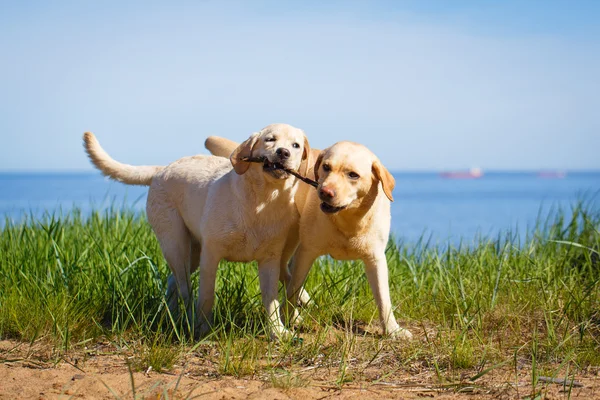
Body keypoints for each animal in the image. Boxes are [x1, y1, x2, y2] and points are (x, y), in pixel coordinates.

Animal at [82, 124, 310, 338]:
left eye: (296, 145)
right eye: (270, 139)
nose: (283, 152)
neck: (262, 200)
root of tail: (162, 169)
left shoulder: (270, 260)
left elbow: (271, 300)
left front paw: (277, 332)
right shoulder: (210, 255)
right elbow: (207, 296)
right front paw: (203, 329)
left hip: (191, 253)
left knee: (173, 281)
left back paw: (173, 316)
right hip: (176, 245)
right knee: (185, 288)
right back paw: (188, 321)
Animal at [204, 138, 410, 338]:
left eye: (353, 175)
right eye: (326, 167)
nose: (325, 192)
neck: (347, 221)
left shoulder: (376, 258)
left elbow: (383, 298)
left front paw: (393, 330)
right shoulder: (307, 251)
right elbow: (293, 287)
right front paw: (287, 318)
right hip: (290, 237)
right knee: (285, 271)